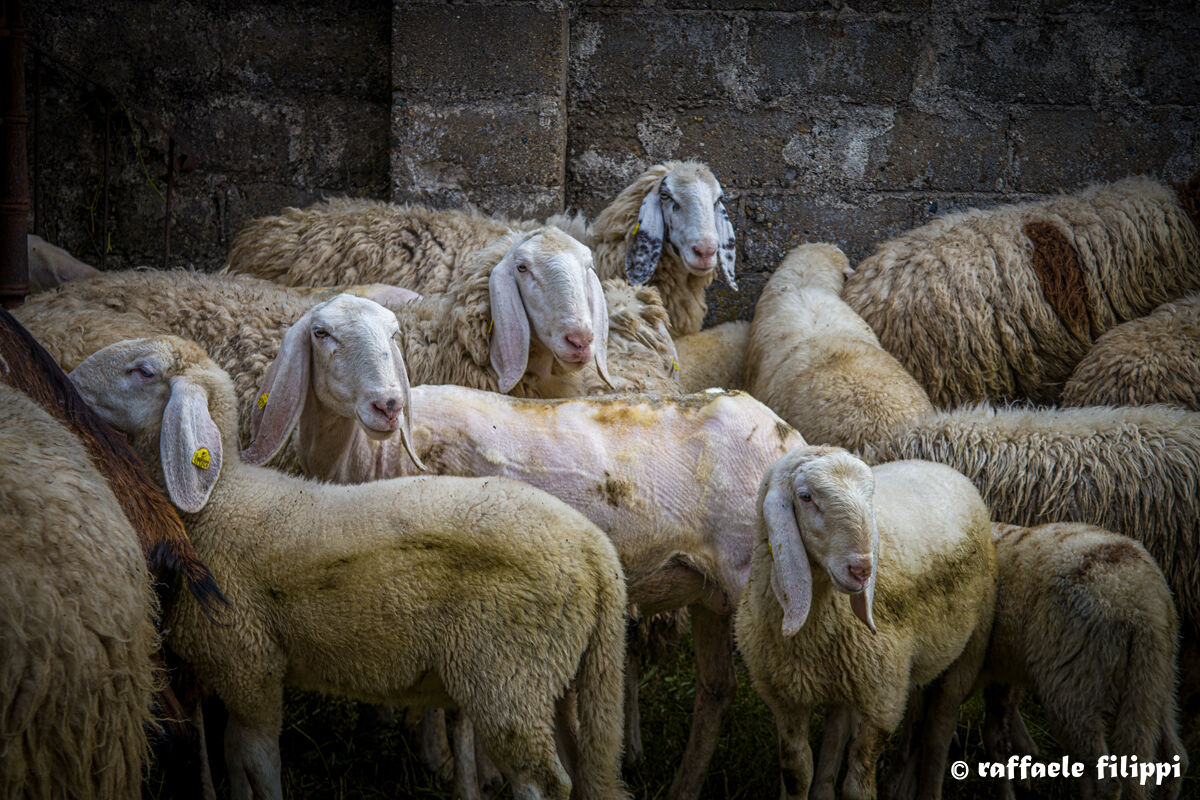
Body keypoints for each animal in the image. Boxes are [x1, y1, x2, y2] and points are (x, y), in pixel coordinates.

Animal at [68, 335, 630, 800]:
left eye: (142, 371)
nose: (70, 380)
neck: (217, 502)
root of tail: (597, 554)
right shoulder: (230, 672)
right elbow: (232, 759)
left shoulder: (250, 664)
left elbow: (259, 762)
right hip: (561, 675)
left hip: (509, 678)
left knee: (541, 780)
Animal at [239, 295, 804, 800]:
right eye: (321, 333)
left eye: (394, 335)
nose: (387, 405)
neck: (367, 459)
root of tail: (789, 438)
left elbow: (461, 713)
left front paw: (470, 778)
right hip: (711, 591)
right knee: (716, 691)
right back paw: (683, 788)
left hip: (761, 582)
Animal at [735, 446, 997, 800]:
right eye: (805, 496)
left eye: (869, 496)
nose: (862, 570)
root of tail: (942, 467)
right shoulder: (784, 698)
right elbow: (796, 773)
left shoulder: (883, 700)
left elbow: (857, 785)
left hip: (969, 649)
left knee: (939, 729)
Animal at [980, 522, 1186, 800]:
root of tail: (1141, 606)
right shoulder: (1002, 668)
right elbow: (998, 730)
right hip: (1155, 678)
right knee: (1175, 758)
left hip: (1075, 685)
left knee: (1107, 780)